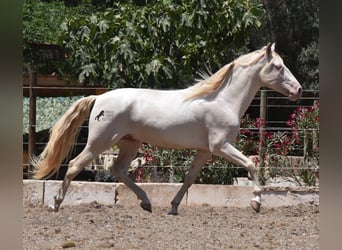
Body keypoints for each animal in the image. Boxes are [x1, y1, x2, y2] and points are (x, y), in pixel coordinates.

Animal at [33, 43, 302, 215]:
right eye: (278, 66)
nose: (298, 90)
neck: (223, 100)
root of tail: (98, 98)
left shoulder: (205, 151)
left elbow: (190, 179)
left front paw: (173, 207)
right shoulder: (221, 146)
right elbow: (251, 164)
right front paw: (256, 202)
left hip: (129, 143)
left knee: (118, 169)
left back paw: (146, 203)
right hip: (100, 142)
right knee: (75, 165)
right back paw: (56, 204)